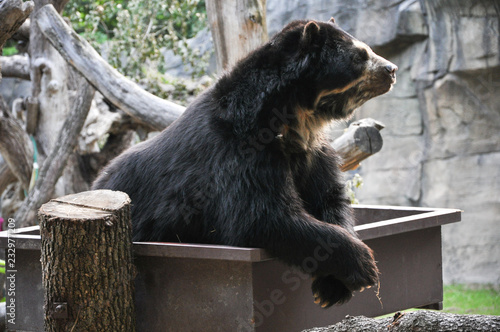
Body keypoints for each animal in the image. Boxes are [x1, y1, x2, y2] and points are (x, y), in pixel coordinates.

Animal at [93, 18, 398, 308]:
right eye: (359, 55)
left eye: (367, 49)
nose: (391, 69)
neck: (295, 118)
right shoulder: (238, 153)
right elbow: (262, 216)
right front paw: (364, 265)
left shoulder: (313, 152)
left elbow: (330, 199)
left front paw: (330, 289)